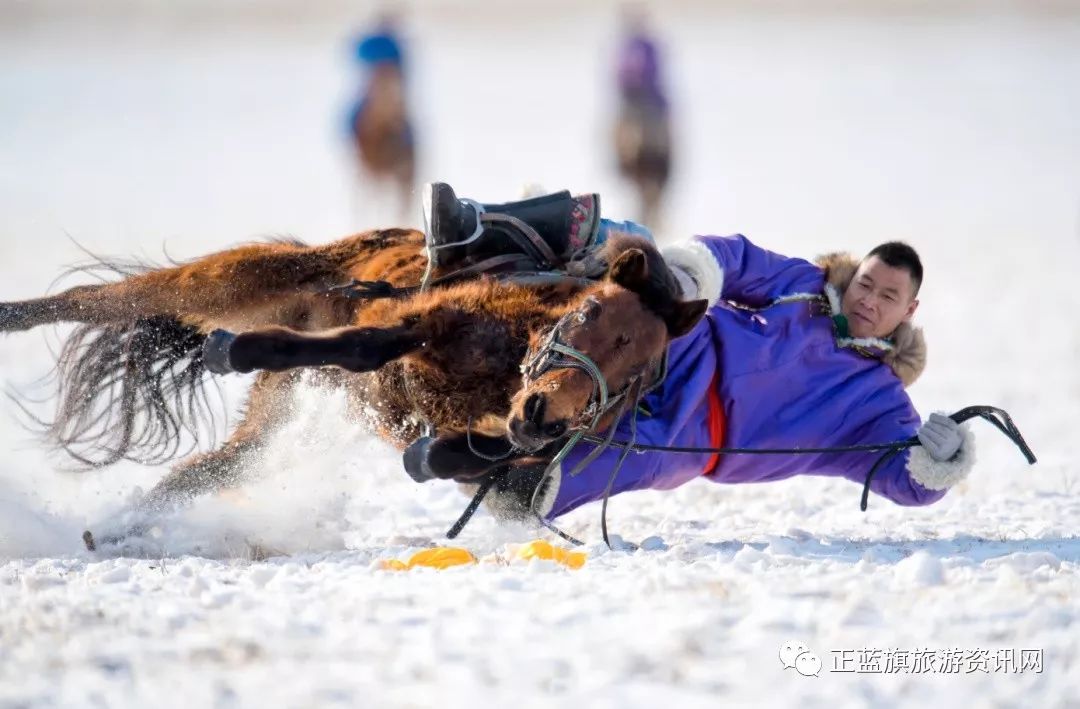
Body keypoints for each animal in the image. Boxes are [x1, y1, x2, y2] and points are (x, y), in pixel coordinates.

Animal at [0, 230, 704, 544]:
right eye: (590, 313)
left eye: (636, 376)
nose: (545, 414)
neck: (504, 367)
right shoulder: (424, 318)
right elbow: (369, 346)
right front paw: (235, 348)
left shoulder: (514, 453)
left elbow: (472, 460)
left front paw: (434, 453)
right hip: (245, 278)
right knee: (100, 299)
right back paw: (14, 314)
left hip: (264, 424)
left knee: (201, 473)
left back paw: (114, 530)